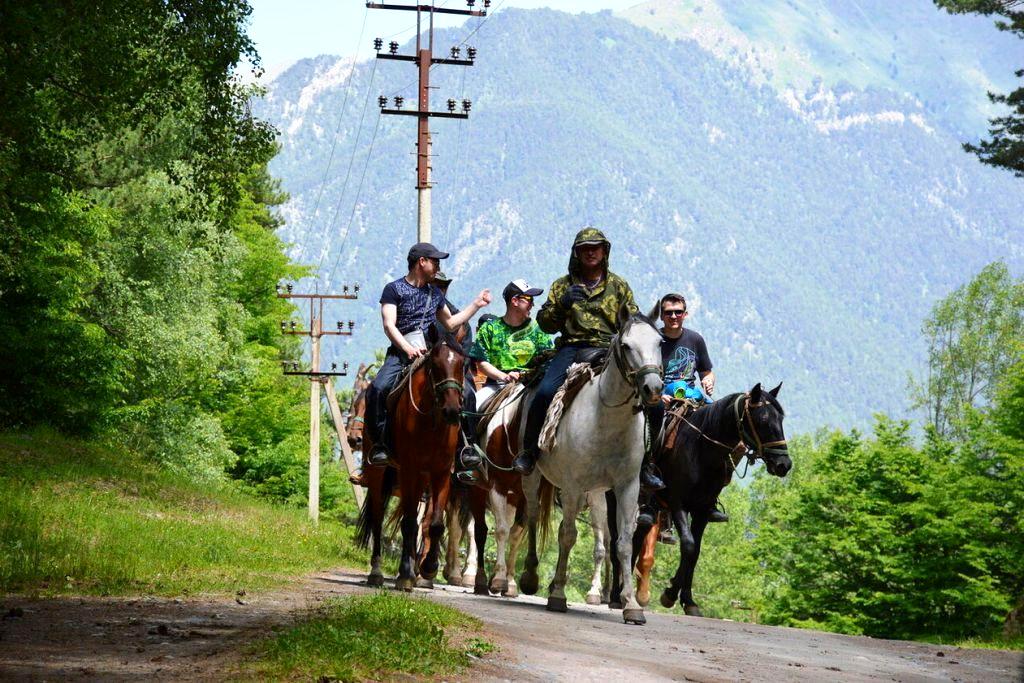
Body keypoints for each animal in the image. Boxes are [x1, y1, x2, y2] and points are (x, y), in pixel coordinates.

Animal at [352, 323, 464, 589]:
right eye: (435, 365)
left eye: (462, 364)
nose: (452, 411)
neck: (431, 421)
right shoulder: (410, 470)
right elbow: (409, 523)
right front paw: (405, 574)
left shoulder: (441, 473)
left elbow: (434, 524)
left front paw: (429, 567)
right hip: (380, 473)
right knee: (378, 518)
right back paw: (377, 572)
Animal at [520, 307, 663, 626]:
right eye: (626, 346)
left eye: (660, 342)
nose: (653, 388)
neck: (608, 419)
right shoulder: (573, 486)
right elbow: (568, 536)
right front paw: (558, 596)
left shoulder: (627, 487)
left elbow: (623, 543)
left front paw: (631, 605)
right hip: (535, 478)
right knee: (533, 518)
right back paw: (526, 578)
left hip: (593, 492)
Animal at [606, 385, 790, 618]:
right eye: (763, 419)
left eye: (780, 418)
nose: (784, 464)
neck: (701, 451)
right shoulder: (678, 504)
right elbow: (689, 545)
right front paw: (669, 594)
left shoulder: (702, 511)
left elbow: (695, 553)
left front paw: (688, 601)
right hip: (614, 500)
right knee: (615, 544)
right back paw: (615, 597)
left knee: (637, 540)